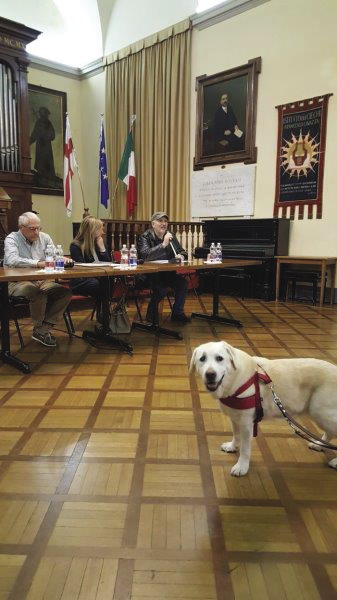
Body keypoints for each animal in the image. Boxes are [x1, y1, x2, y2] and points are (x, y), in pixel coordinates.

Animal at [189, 342, 336, 478]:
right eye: (202, 359)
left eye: (219, 358)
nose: (210, 374)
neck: (234, 379)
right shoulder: (235, 418)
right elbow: (236, 435)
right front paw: (232, 446)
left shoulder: (246, 424)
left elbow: (245, 449)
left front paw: (242, 466)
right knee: (329, 432)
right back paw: (319, 444)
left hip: (321, 412)